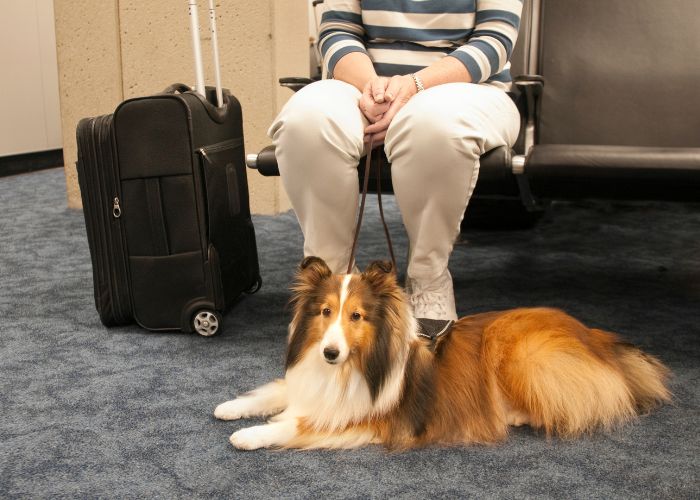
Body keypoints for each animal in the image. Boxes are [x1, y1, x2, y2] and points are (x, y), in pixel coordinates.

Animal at [215, 258, 672, 450]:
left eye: (357, 316)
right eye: (326, 312)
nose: (330, 352)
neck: (352, 367)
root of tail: (595, 337)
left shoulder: (368, 418)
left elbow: (296, 425)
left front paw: (249, 435)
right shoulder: (308, 383)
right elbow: (274, 392)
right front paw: (230, 408)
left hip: (522, 354)